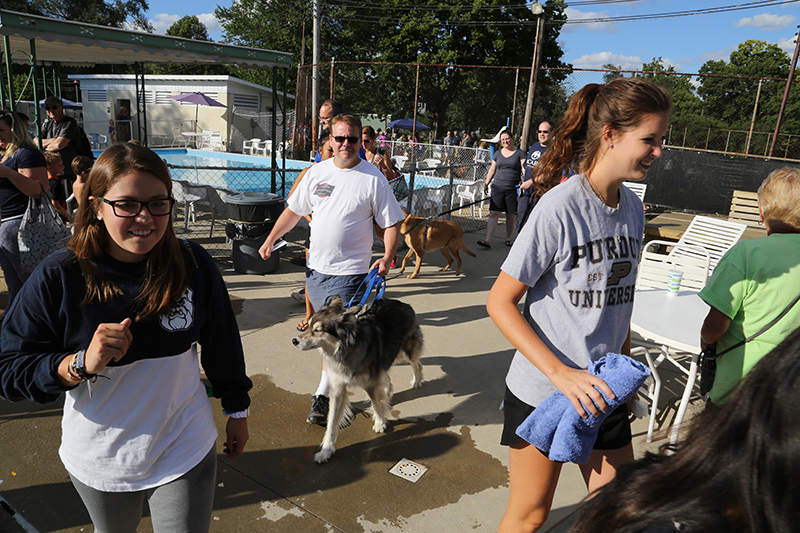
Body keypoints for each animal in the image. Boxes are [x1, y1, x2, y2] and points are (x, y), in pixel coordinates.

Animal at [290, 296, 422, 462]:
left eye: (318, 330)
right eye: (307, 326)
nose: (294, 341)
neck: (344, 350)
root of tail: (402, 303)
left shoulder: (370, 383)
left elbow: (376, 404)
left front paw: (380, 423)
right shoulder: (338, 389)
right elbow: (332, 422)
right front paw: (326, 450)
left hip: (406, 349)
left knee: (416, 363)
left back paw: (417, 381)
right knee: (386, 378)